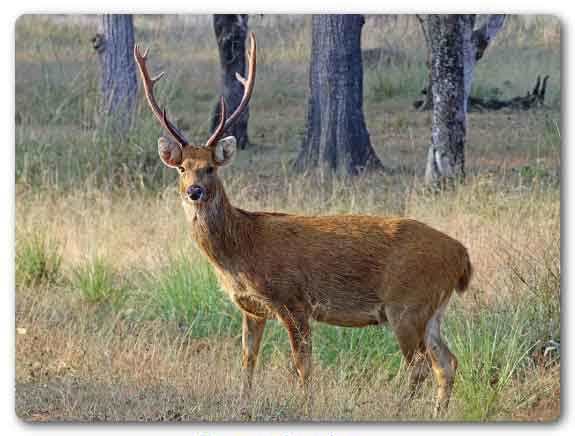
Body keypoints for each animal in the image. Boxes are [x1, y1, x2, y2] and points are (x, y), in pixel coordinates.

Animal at [134, 32, 472, 418]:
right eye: (181, 168)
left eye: (210, 167)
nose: (194, 191)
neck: (242, 249)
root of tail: (462, 255)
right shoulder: (251, 307)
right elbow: (248, 359)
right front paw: (243, 406)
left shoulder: (292, 299)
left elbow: (302, 363)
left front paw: (305, 406)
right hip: (431, 310)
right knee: (447, 363)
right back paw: (438, 412)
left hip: (407, 303)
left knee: (419, 367)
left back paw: (399, 411)